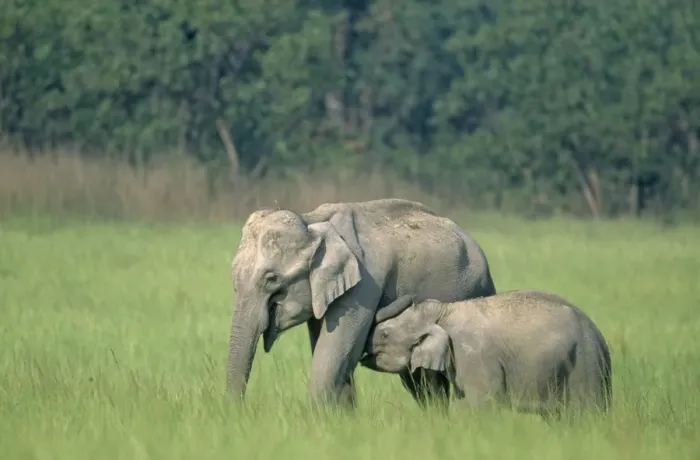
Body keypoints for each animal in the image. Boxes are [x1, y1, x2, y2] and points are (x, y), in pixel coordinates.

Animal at [226, 198, 497, 408]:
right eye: (233, 277)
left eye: (271, 279)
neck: (311, 220)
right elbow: (336, 356)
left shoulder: (364, 287)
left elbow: (331, 358)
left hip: (476, 287)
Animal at [359, 290, 612, 416]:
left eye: (385, 334)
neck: (442, 311)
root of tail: (600, 336)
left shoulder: (472, 355)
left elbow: (482, 402)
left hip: (584, 365)